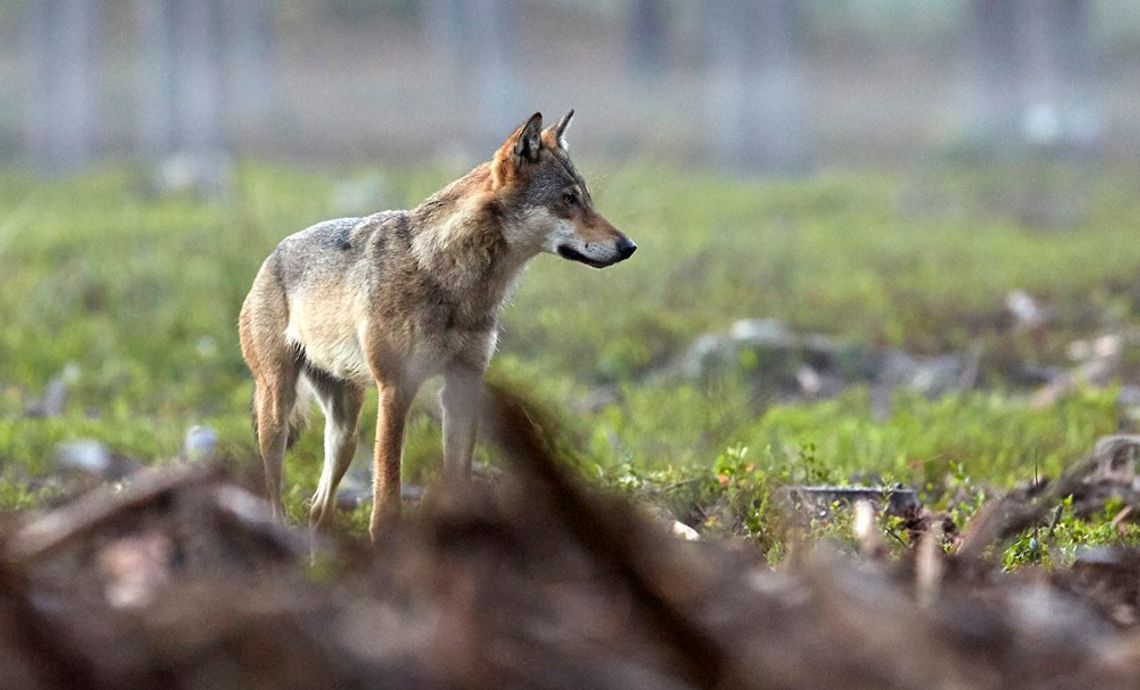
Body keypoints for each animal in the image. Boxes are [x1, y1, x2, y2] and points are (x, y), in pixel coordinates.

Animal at [237, 110, 638, 538]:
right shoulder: (396, 388)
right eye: (568, 199)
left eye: (587, 198)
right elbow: (387, 495)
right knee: (277, 496)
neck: (451, 280)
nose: (629, 246)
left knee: (318, 508)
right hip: (278, 412)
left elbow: (458, 474)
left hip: (345, 427)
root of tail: (273, 254)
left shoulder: (464, 384)